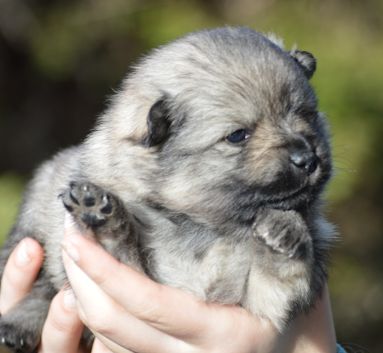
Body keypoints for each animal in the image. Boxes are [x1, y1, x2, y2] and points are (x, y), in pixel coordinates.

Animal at [0, 26, 336, 350]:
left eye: (307, 114)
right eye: (238, 135)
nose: (308, 159)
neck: (208, 228)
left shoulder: (262, 304)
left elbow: (281, 275)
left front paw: (285, 227)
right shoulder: (137, 277)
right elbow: (119, 247)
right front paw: (100, 215)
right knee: (41, 288)